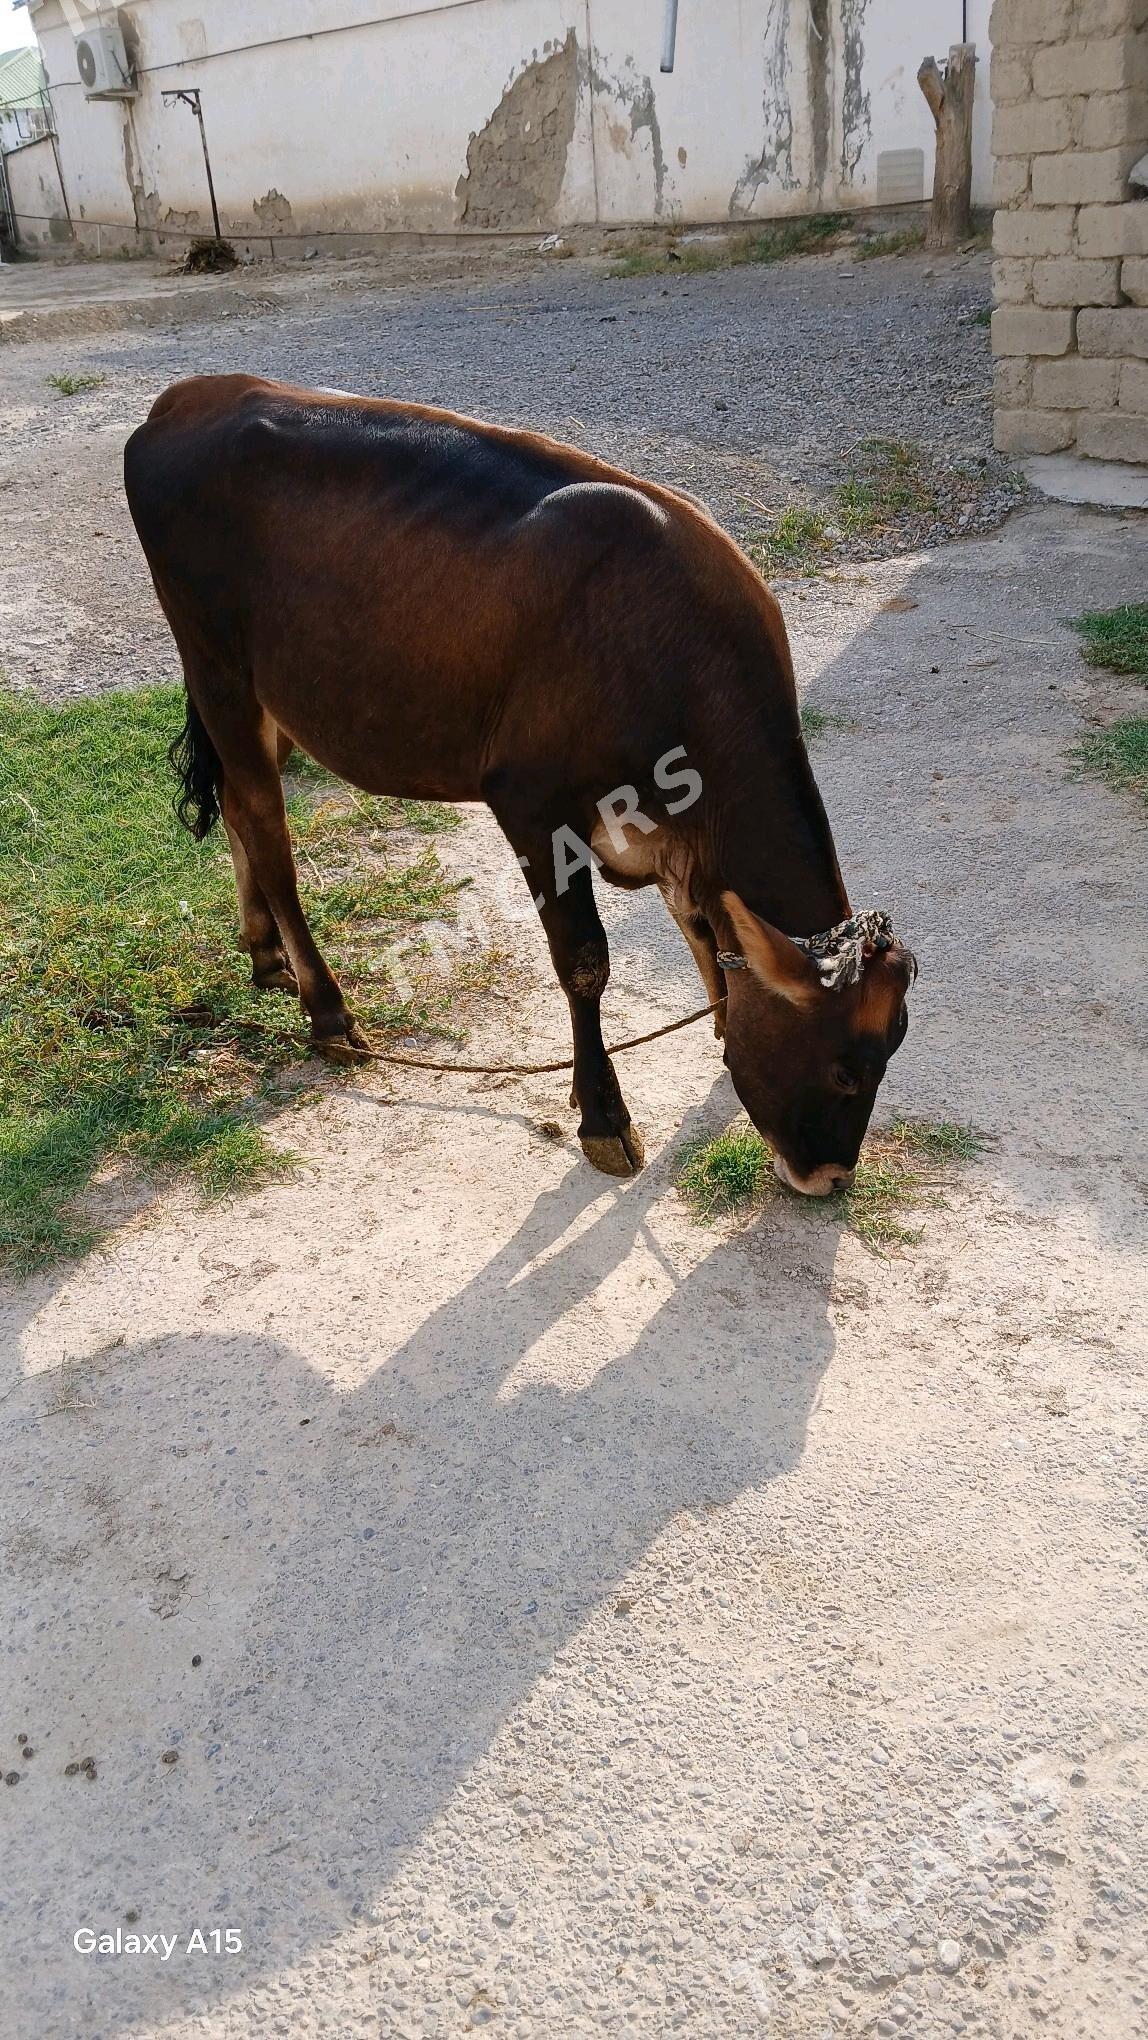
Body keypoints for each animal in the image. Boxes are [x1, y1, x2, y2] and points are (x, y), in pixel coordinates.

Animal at [125, 375, 917, 1191]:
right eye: (845, 1070)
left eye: (890, 1056)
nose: (831, 1178)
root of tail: (191, 396)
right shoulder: (531, 804)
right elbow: (585, 963)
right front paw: (603, 1118)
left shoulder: (676, 850)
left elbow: (704, 942)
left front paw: (719, 1030)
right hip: (220, 672)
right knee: (265, 830)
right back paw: (329, 1012)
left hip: (273, 698)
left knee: (235, 806)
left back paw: (264, 954)